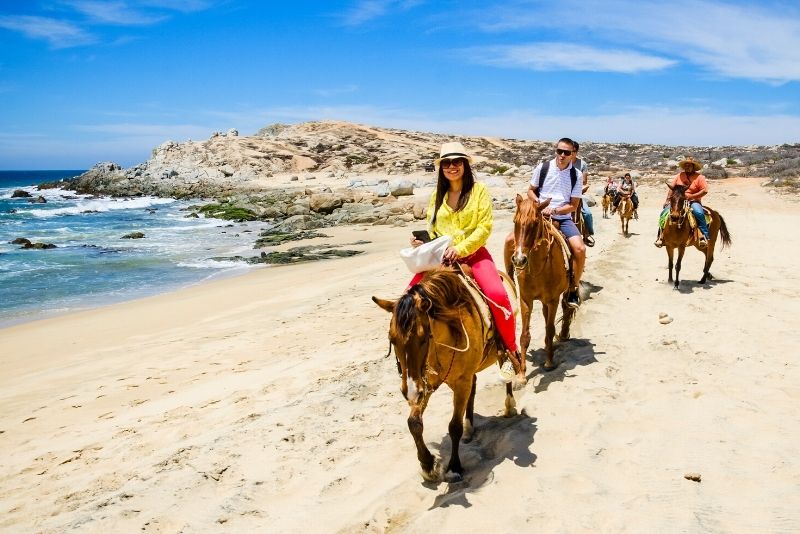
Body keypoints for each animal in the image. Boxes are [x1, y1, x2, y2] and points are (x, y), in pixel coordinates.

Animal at [372, 270, 516, 484]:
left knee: (507, 371)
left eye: (423, 338)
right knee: (473, 387)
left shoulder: (459, 382)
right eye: (392, 339)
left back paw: (509, 405)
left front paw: (454, 467)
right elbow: (414, 423)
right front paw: (427, 465)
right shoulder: (424, 383)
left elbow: (454, 426)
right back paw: (469, 428)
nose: (409, 391)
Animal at [506, 196, 576, 372]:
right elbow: (524, 335)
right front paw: (522, 372)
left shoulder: (553, 300)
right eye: (515, 221)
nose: (519, 260)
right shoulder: (526, 299)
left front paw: (549, 362)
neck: (539, 268)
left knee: (566, 308)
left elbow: (550, 330)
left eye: (535, 223)